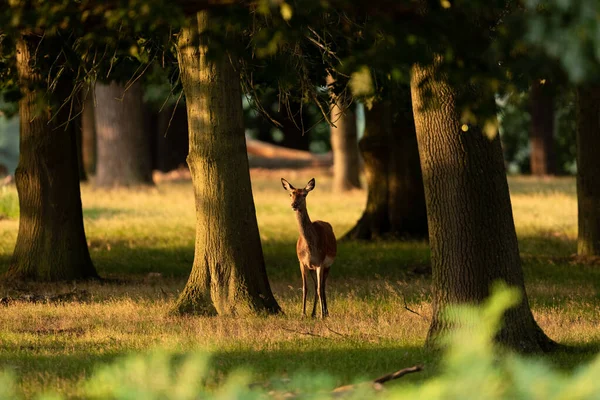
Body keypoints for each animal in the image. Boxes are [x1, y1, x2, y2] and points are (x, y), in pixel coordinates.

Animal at [282, 178, 338, 318]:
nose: (294, 205)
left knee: (322, 286)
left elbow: (319, 288)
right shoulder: (302, 262)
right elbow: (305, 288)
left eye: (304, 195)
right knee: (317, 285)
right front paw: (303, 314)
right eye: (290, 194)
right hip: (312, 269)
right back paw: (313, 313)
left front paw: (322, 315)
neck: (310, 249)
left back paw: (325, 312)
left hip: (328, 265)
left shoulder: (320, 263)